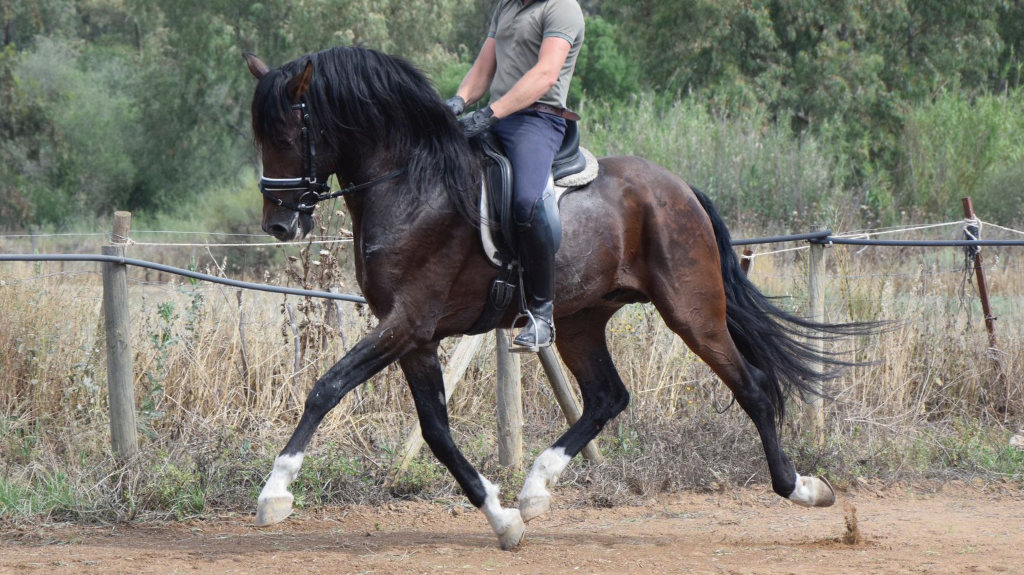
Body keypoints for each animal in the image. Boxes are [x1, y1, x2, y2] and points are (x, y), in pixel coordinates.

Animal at [242, 45, 872, 550]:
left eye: (287, 136)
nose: (279, 225)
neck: (412, 186)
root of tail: (678, 187)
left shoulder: (406, 323)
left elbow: (327, 388)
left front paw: (275, 493)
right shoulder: (414, 337)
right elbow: (436, 433)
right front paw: (502, 519)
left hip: (693, 312)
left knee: (754, 387)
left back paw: (803, 488)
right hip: (579, 321)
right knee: (607, 397)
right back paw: (536, 487)